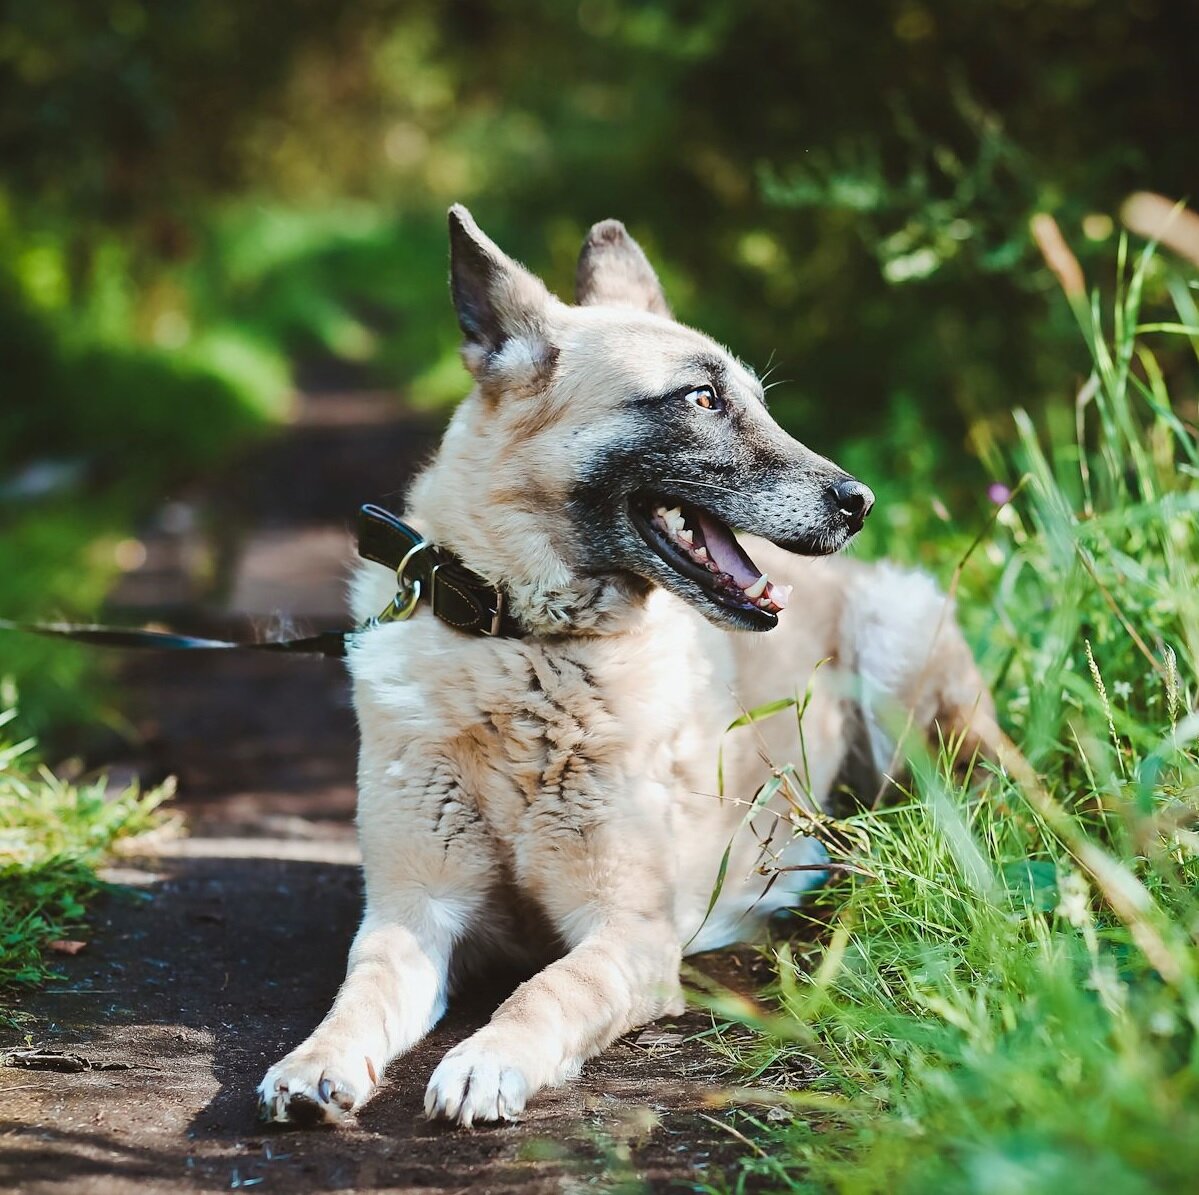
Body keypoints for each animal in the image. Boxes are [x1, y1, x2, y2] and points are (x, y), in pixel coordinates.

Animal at [257, 207, 997, 1126]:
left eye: (755, 402)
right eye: (702, 398)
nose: (857, 501)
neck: (524, 645)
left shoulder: (627, 931)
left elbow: (542, 990)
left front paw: (486, 1058)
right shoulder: (412, 913)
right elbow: (358, 992)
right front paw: (314, 1058)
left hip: (899, 666)